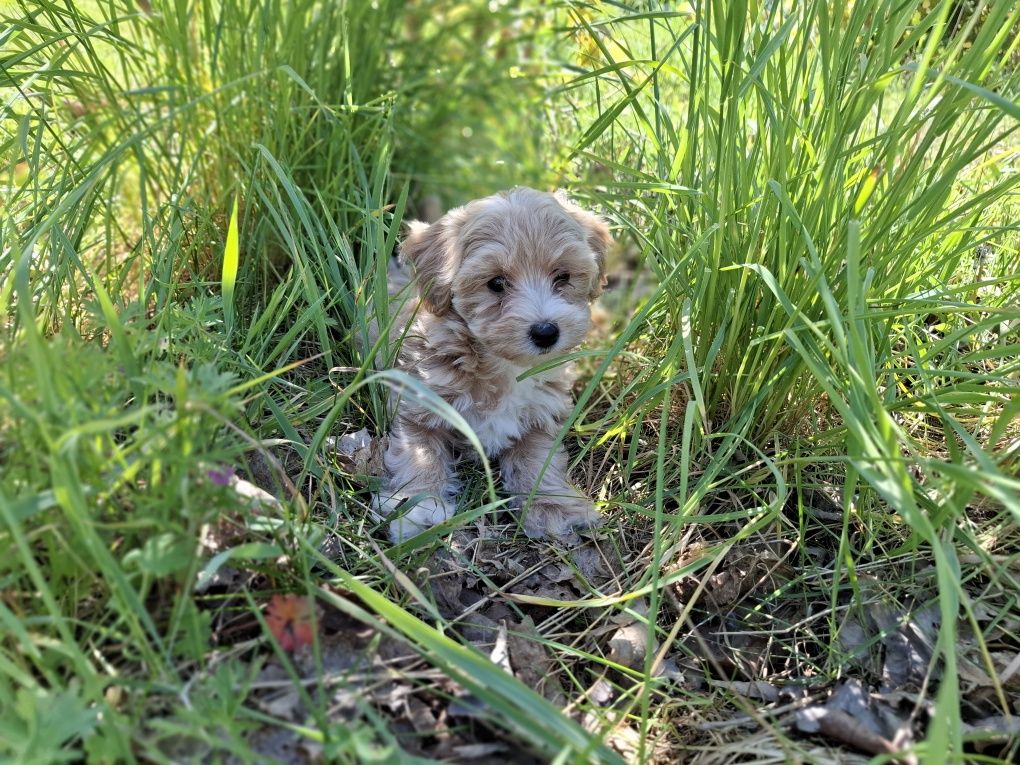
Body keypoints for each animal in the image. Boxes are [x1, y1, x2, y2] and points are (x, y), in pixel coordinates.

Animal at [377, 187, 612, 542]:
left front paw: (552, 505)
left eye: (563, 277)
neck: (503, 367)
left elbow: (538, 459)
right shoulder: (416, 403)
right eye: (496, 283)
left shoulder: (541, 414)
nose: (546, 332)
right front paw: (420, 505)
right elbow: (419, 453)